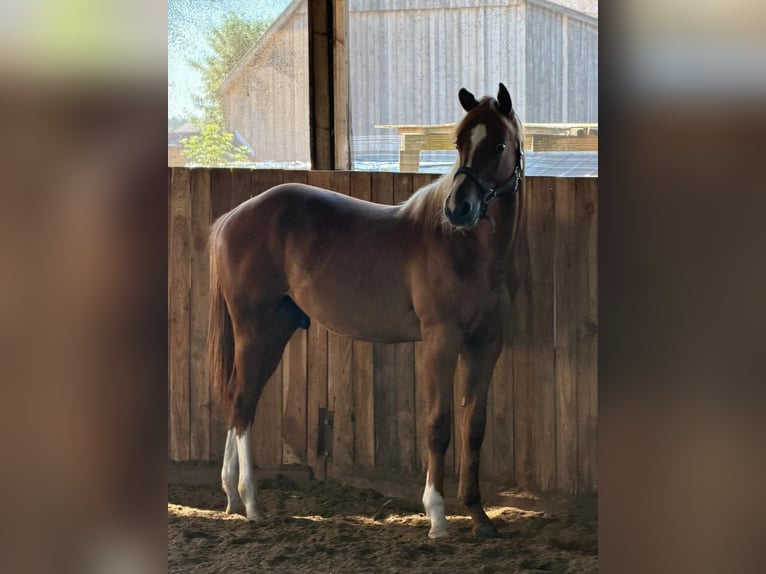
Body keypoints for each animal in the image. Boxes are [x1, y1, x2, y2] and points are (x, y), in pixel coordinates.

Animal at [207, 83, 525, 538]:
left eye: (498, 144)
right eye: (460, 143)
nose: (458, 209)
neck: (464, 248)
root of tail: (231, 218)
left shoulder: (485, 344)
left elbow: (474, 427)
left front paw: (480, 517)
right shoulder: (441, 340)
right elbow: (439, 425)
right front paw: (437, 518)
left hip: (275, 330)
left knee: (238, 400)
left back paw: (233, 497)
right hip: (254, 328)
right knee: (244, 402)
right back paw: (251, 502)